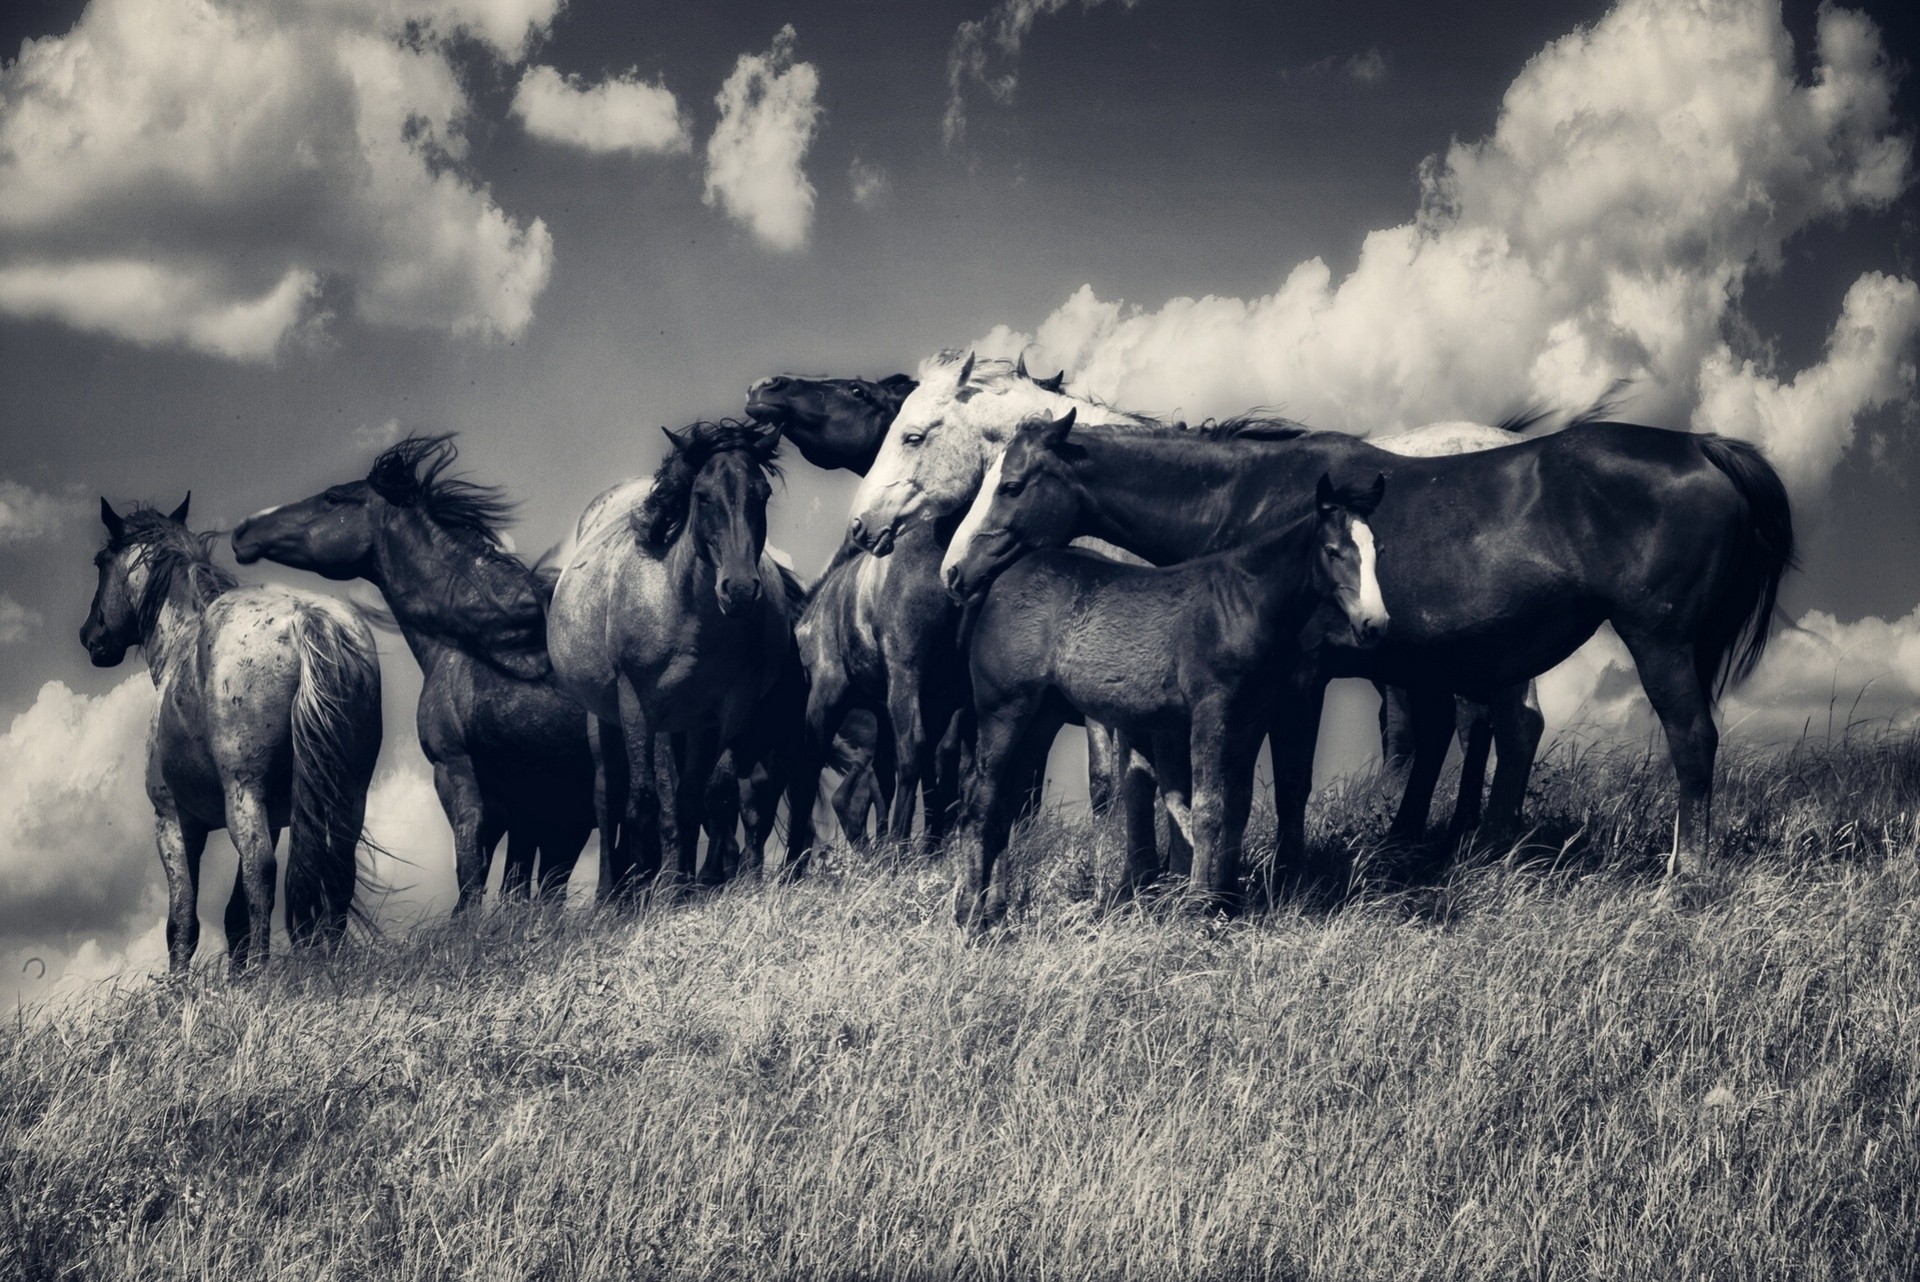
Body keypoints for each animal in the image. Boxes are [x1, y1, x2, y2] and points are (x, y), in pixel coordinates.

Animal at [232, 441, 591, 909]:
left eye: (332, 498)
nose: (243, 530)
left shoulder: (458, 774)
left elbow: (472, 874)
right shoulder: (532, 806)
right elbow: (521, 884)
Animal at [944, 410, 1797, 882]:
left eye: (1012, 486)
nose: (954, 572)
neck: (1253, 504)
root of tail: (1702, 447)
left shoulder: (1296, 680)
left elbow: (1284, 782)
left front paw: (1282, 874)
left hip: (1661, 642)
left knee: (1689, 740)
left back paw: (1684, 874)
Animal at [952, 470, 1390, 932]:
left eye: (1378, 550)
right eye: (1332, 551)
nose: (1374, 624)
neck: (1243, 604)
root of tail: (1000, 584)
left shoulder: (1251, 718)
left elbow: (1238, 805)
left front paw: (1228, 899)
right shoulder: (1211, 711)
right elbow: (1207, 807)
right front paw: (1198, 905)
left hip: (1041, 716)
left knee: (1004, 801)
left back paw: (997, 911)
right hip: (1004, 710)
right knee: (980, 799)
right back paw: (970, 915)